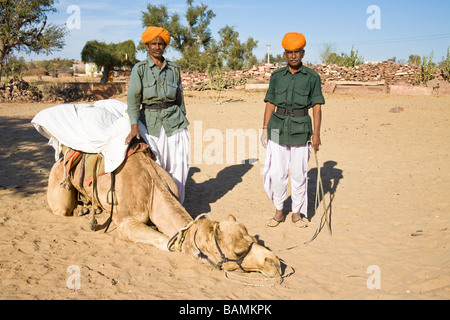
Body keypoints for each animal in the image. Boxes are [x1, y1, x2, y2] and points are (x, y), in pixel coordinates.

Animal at [48, 142, 282, 278]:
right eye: (238, 252)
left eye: (255, 238)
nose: (275, 263)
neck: (153, 188)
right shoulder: (125, 221)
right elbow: (165, 241)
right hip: (59, 177)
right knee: (62, 207)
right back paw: (80, 211)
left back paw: (89, 209)